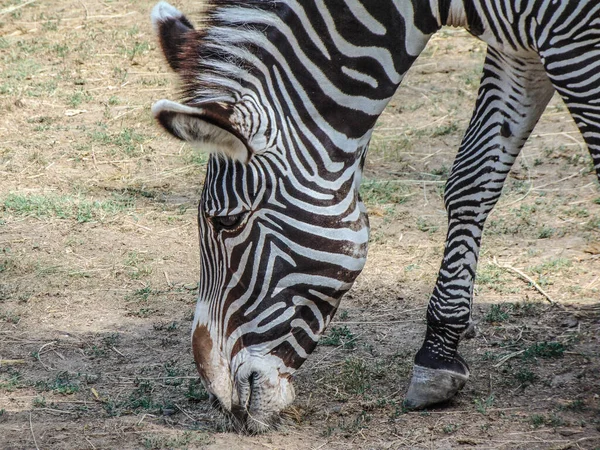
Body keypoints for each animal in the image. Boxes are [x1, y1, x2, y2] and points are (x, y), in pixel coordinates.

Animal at [150, 0, 600, 432]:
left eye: (227, 222)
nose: (221, 401)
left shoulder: (573, 38)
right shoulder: (518, 49)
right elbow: (471, 180)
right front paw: (437, 353)